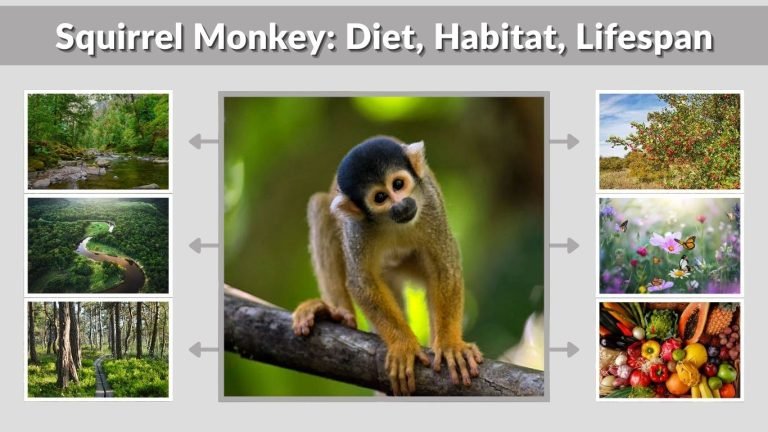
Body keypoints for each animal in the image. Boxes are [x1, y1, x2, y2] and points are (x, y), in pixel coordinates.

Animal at [292, 136, 483, 396]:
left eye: (398, 184)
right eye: (380, 198)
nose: (400, 206)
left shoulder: (430, 205)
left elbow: (445, 268)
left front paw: (450, 344)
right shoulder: (357, 228)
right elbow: (361, 282)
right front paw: (403, 344)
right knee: (319, 207)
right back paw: (337, 313)